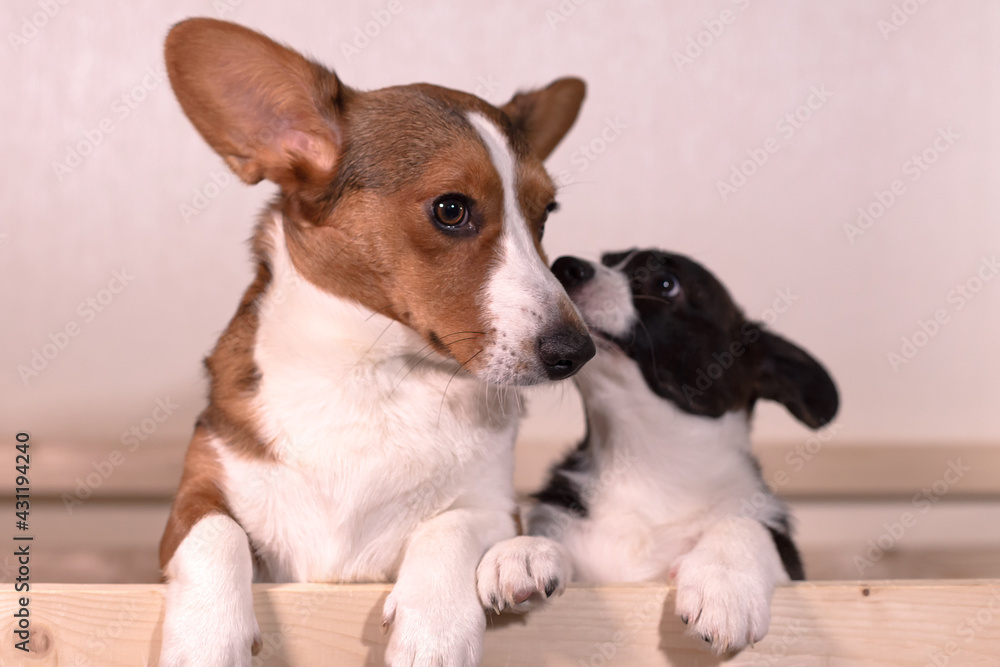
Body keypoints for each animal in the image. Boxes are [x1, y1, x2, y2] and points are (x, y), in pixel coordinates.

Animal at [159, 18, 588, 664]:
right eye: (451, 210)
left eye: (546, 215)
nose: (578, 352)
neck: (375, 373)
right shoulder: (196, 495)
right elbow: (217, 532)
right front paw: (209, 635)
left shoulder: (489, 503)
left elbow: (452, 523)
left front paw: (436, 626)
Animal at [528, 250, 840, 652]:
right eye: (607, 260)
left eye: (666, 284)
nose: (565, 266)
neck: (648, 461)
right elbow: (547, 532)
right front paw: (526, 550)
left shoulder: (791, 563)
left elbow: (745, 523)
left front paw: (724, 581)